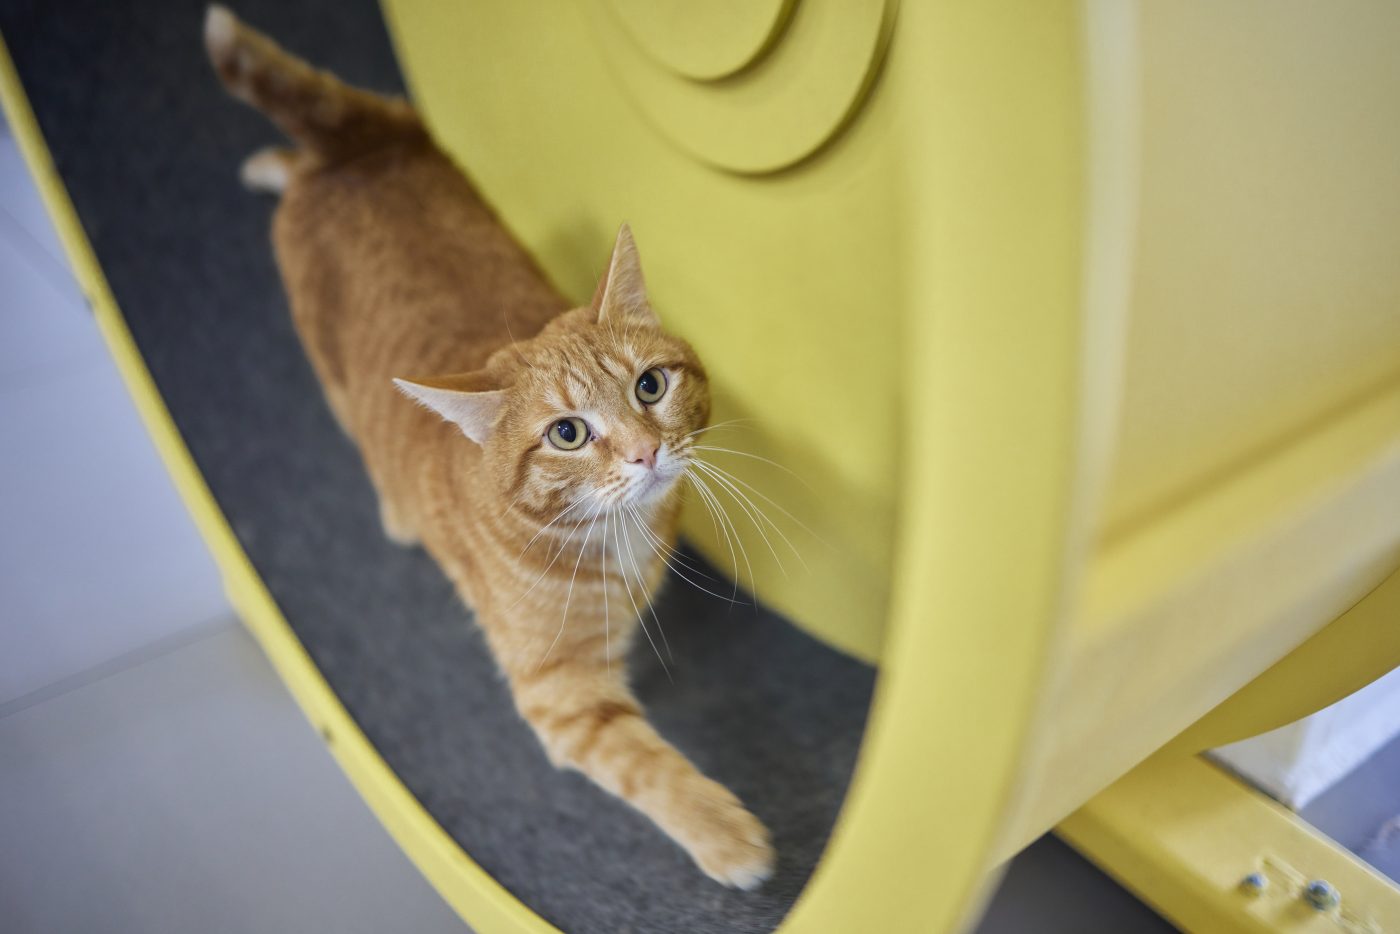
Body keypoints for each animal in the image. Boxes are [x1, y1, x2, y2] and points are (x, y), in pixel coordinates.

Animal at [204, 1, 778, 890]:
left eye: (650, 388)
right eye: (568, 433)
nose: (645, 453)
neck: (614, 541)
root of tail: (356, 152)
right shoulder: (563, 696)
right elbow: (649, 766)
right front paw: (727, 835)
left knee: (296, 158)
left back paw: (275, 161)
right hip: (332, 380)